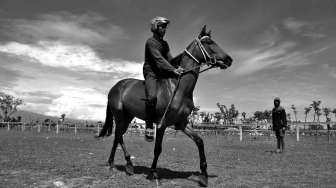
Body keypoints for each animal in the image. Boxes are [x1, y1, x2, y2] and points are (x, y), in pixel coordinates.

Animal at [97, 25, 232, 187]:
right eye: (209, 42)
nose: (229, 59)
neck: (177, 87)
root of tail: (115, 87)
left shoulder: (181, 123)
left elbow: (199, 141)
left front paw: (204, 176)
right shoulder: (162, 124)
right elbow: (158, 149)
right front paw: (153, 173)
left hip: (128, 117)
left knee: (118, 136)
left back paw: (121, 164)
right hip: (120, 116)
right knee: (118, 136)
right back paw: (121, 164)